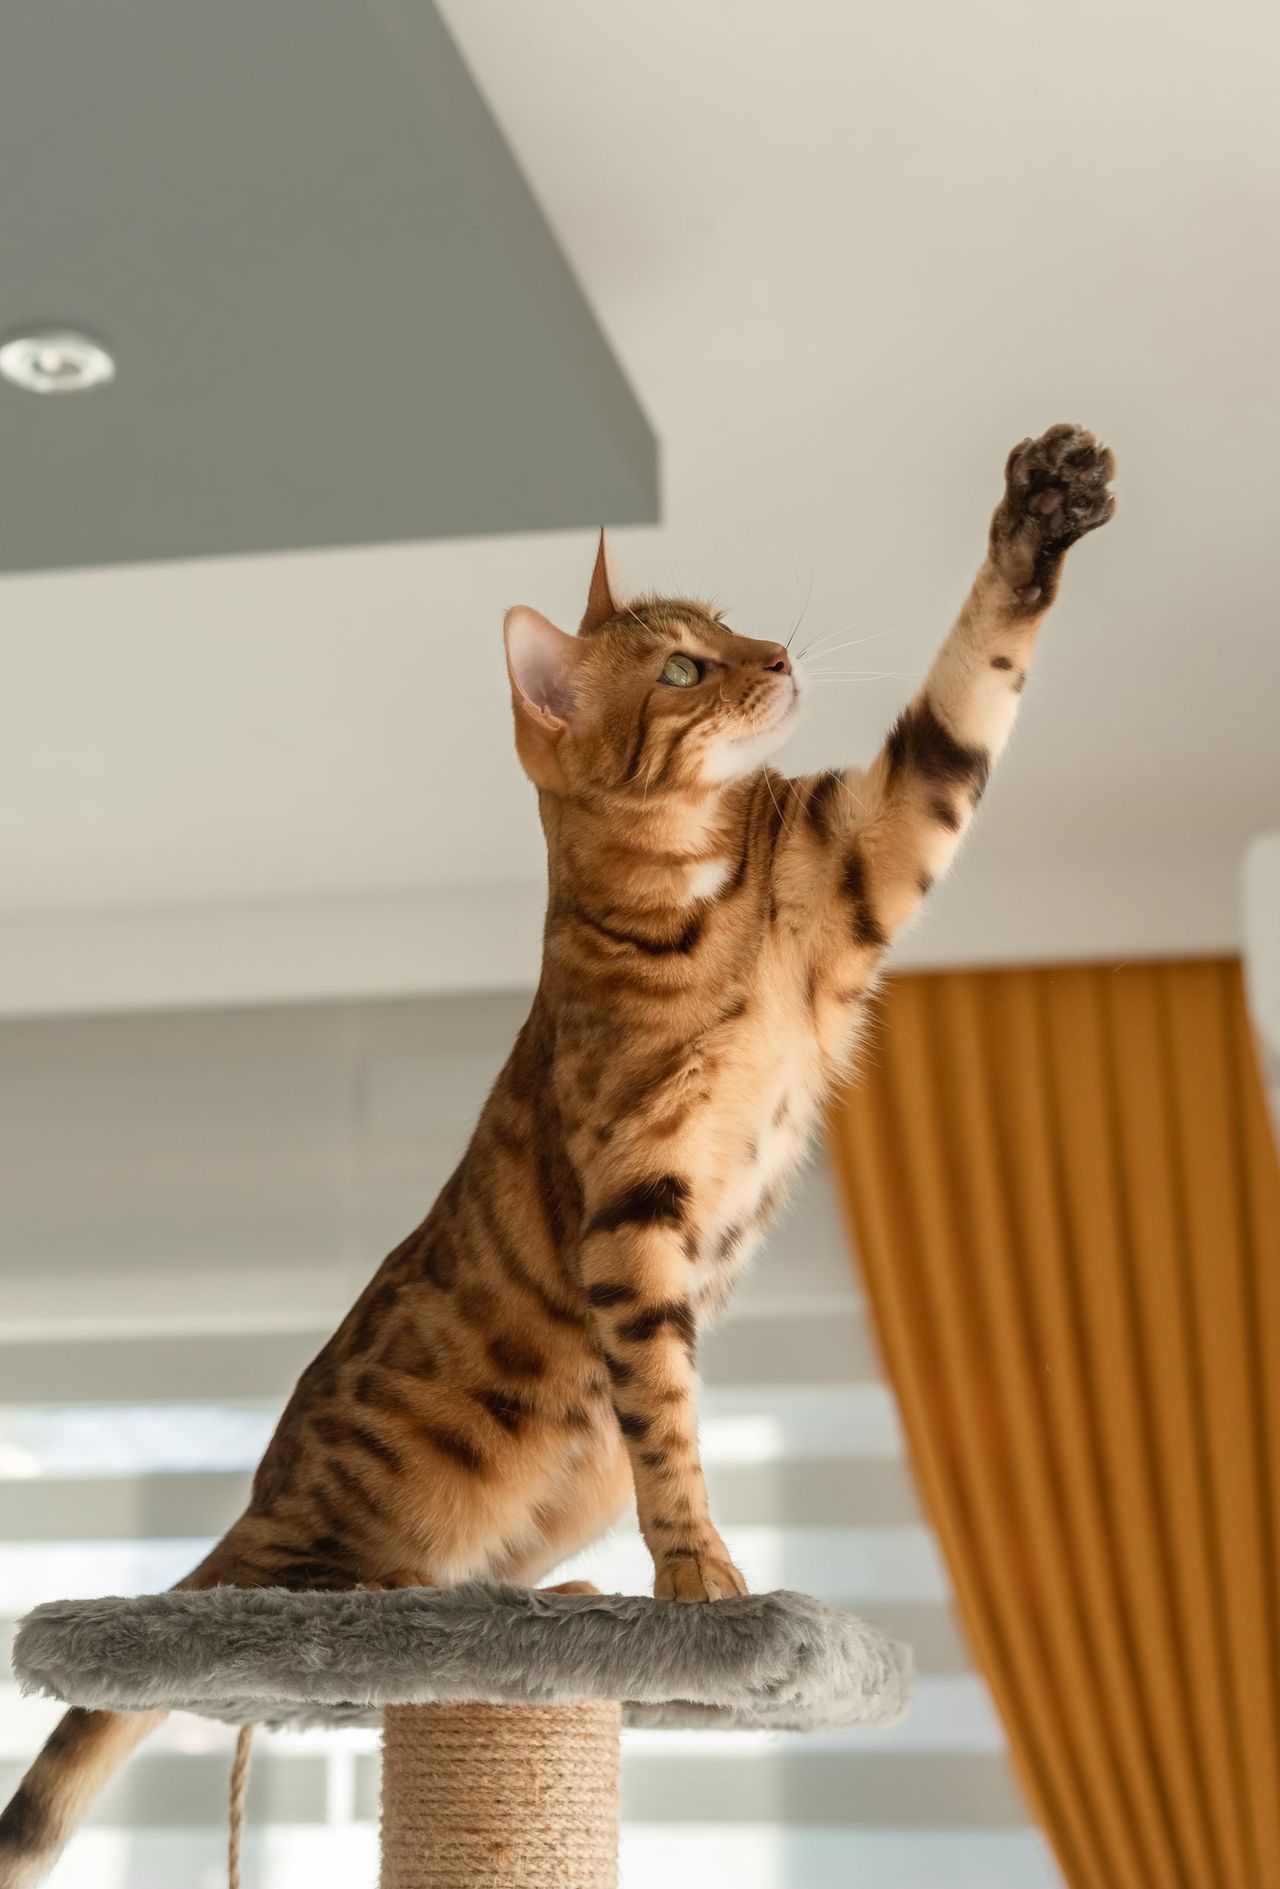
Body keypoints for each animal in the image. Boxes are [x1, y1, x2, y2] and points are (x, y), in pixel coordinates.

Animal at [0, 421, 1110, 1881]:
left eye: (734, 625)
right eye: (687, 665)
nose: (780, 657)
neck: (701, 888)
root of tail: (259, 1492)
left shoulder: (876, 841)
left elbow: (967, 692)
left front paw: (1046, 502)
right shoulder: (632, 1204)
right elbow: (671, 1428)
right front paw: (699, 1586)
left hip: (560, 1482)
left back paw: (564, 1596)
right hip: (396, 1497)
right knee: (326, 1587)